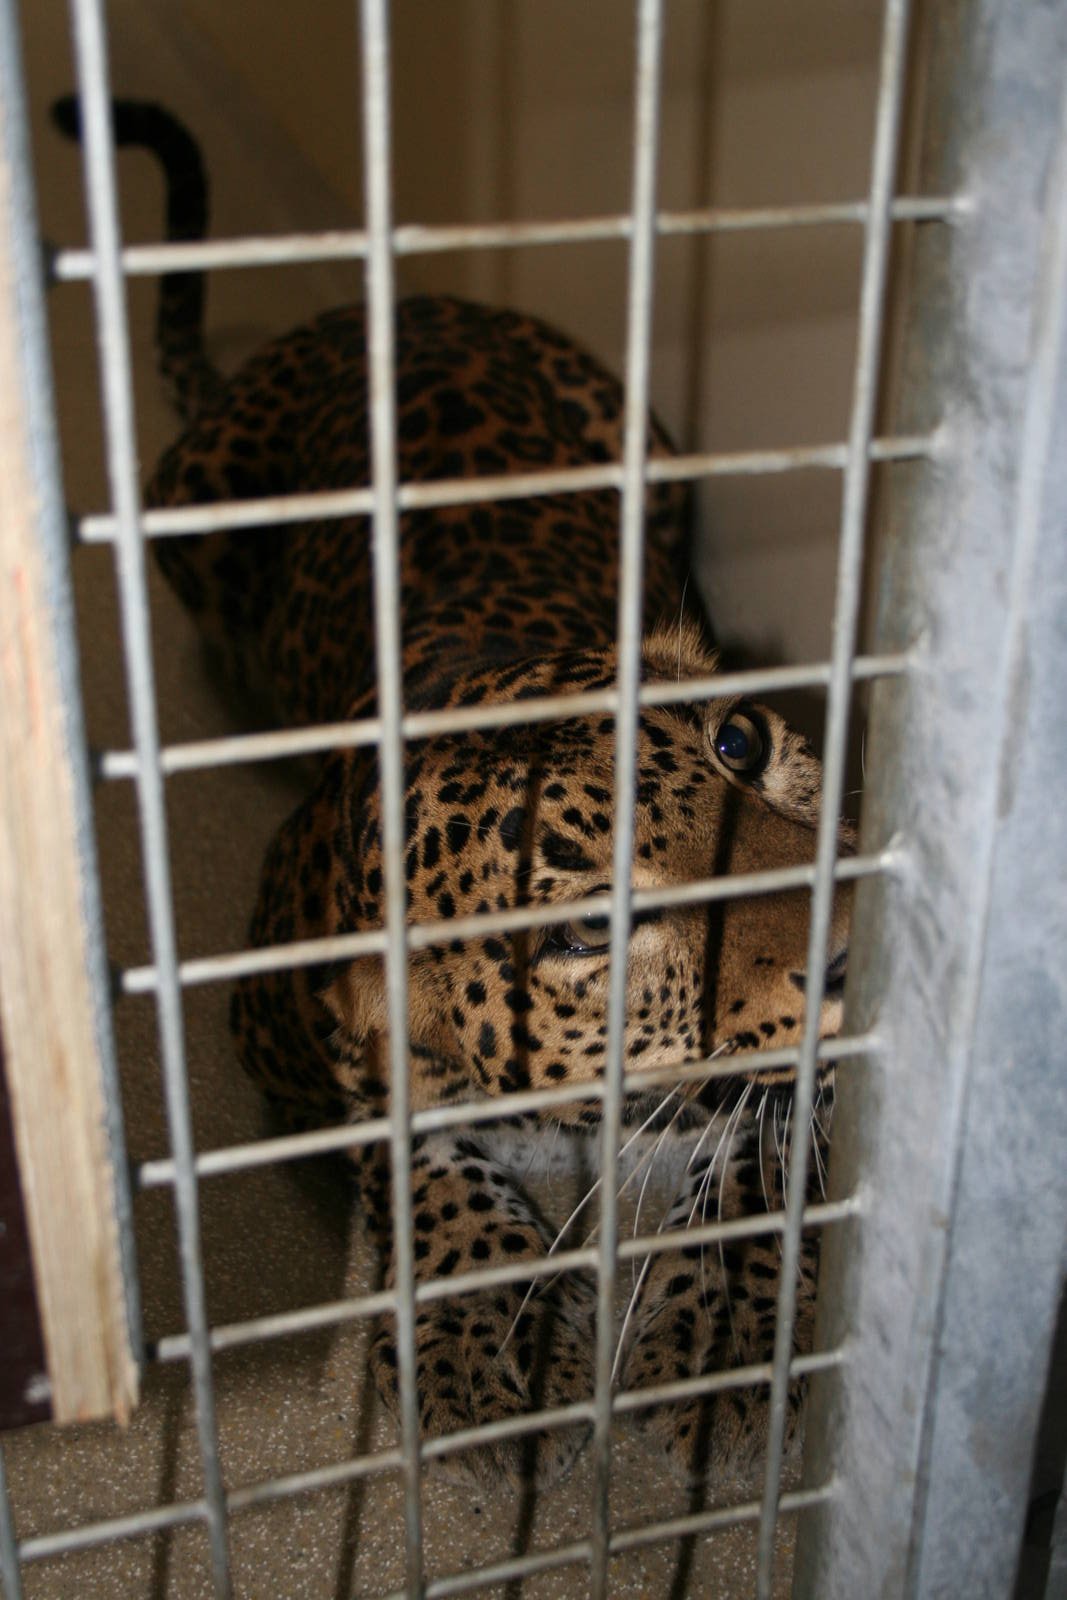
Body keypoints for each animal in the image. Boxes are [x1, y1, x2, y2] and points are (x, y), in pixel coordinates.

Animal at [55, 96, 852, 1491]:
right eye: (584, 930)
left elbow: (765, 1141)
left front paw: (719, 1329)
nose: (852, 942)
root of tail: (366, 306)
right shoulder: (289, 1029)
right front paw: (492, 1327)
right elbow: (412, 1150)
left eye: (741, 742)